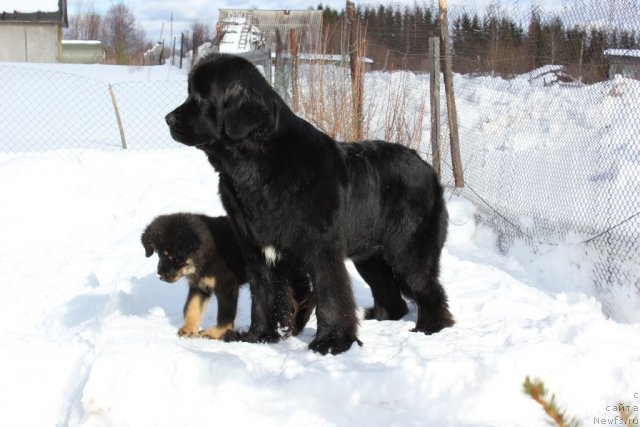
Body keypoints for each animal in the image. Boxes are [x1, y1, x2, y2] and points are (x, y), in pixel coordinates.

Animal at [144, 214, 316, 342]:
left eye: (174, 257)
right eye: (159, 254)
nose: (160, 274)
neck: (206, 254)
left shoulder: (226, 285)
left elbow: (225, 313)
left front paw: (216, 333)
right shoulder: (200, 285)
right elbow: (191, 307)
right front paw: (189, 329)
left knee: (303, 297)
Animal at [165, 53, 456, 356]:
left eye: (202, 97)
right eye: (190, 93)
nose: (168, 118)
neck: (256, 167)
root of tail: (428, 168)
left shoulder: (322, 248)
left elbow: (330, 296)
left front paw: (331, 343)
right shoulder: (257, 249)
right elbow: (263, 294)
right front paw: (259, 336)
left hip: (407, 250)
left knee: (429, 288)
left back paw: (429, 328)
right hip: (369, 256)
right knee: (392, 296)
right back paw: (380, 317)